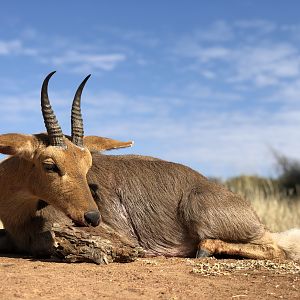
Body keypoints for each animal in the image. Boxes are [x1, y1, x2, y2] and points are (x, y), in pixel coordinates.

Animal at [0, 72, 300, 260]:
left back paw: (204, 249)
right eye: (50, 165)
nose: (93, 217)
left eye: (87, 166)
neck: (20, 215)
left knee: (277, 249)